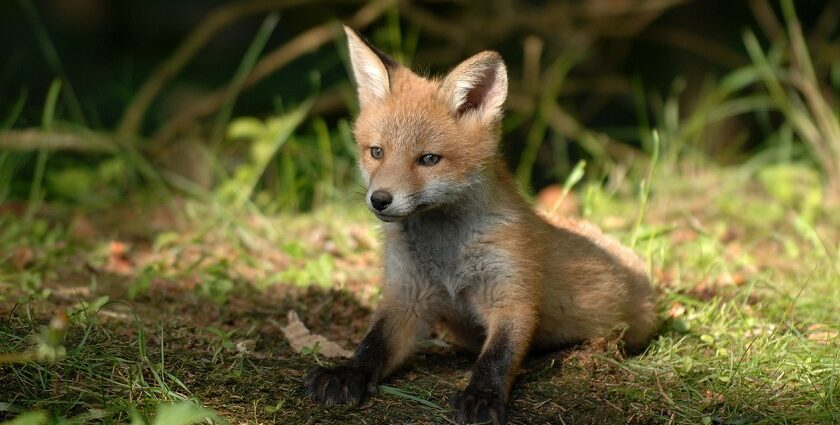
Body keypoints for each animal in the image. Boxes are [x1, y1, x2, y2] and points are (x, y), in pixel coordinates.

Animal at [302, 27, 656, 424]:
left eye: (428, 159)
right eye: (376, 152)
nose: (379, 199)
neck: (447, 253)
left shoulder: (512, 295)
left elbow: (497, 357)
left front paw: (482, 397)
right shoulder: (406, 296)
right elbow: (372, 345)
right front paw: (346, 373)